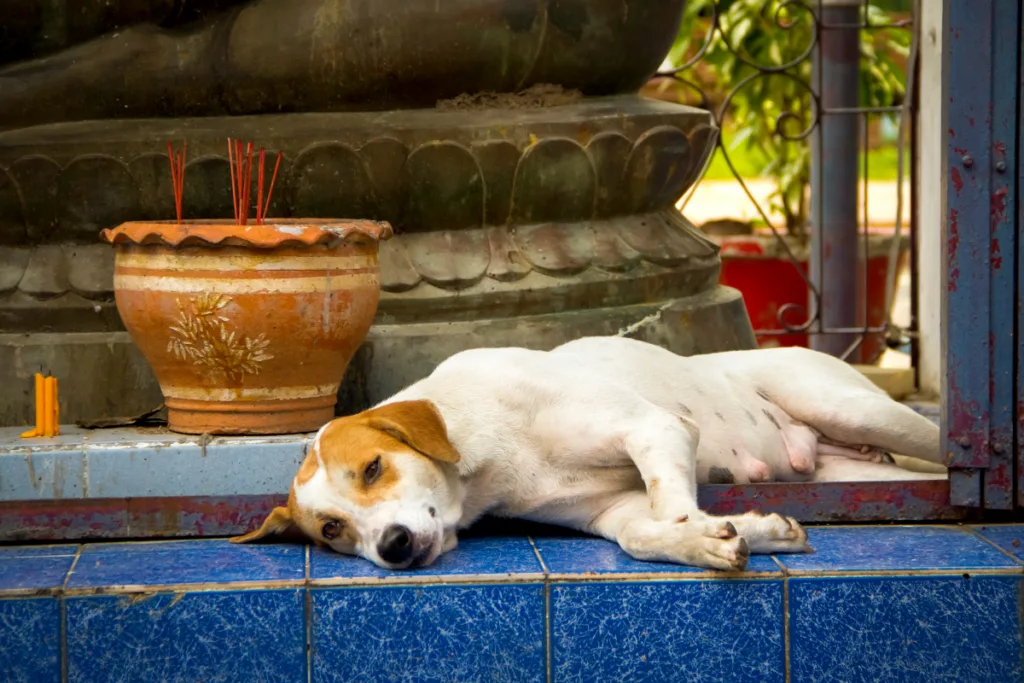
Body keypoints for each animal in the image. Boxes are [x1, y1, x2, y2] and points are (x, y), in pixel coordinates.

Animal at [232, 337, 942, 573]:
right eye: (331, 530)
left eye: (374, 467)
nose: (394, 547)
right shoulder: (609, 511)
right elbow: (642, 535)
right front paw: (740, 533)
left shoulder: (654, 428)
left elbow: (671, 505)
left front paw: (707, 531)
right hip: (848, 467)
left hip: (852, 407)